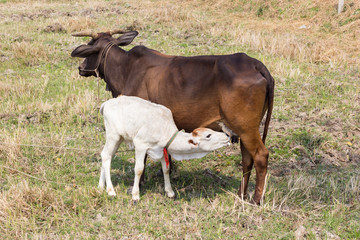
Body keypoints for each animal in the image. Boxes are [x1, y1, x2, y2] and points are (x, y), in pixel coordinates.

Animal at [97, 95, 231, 201]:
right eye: (208, 135)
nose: (227, 136)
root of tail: (106, 103)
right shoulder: (140, 144)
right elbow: (139, 169)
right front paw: (135, 195)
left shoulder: (161, 150)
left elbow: (166, 169)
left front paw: (170, 192)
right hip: (113, 135)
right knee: (106, 156)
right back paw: (111, 191)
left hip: (118, 138)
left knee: (106, 155)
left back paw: (101, 186)